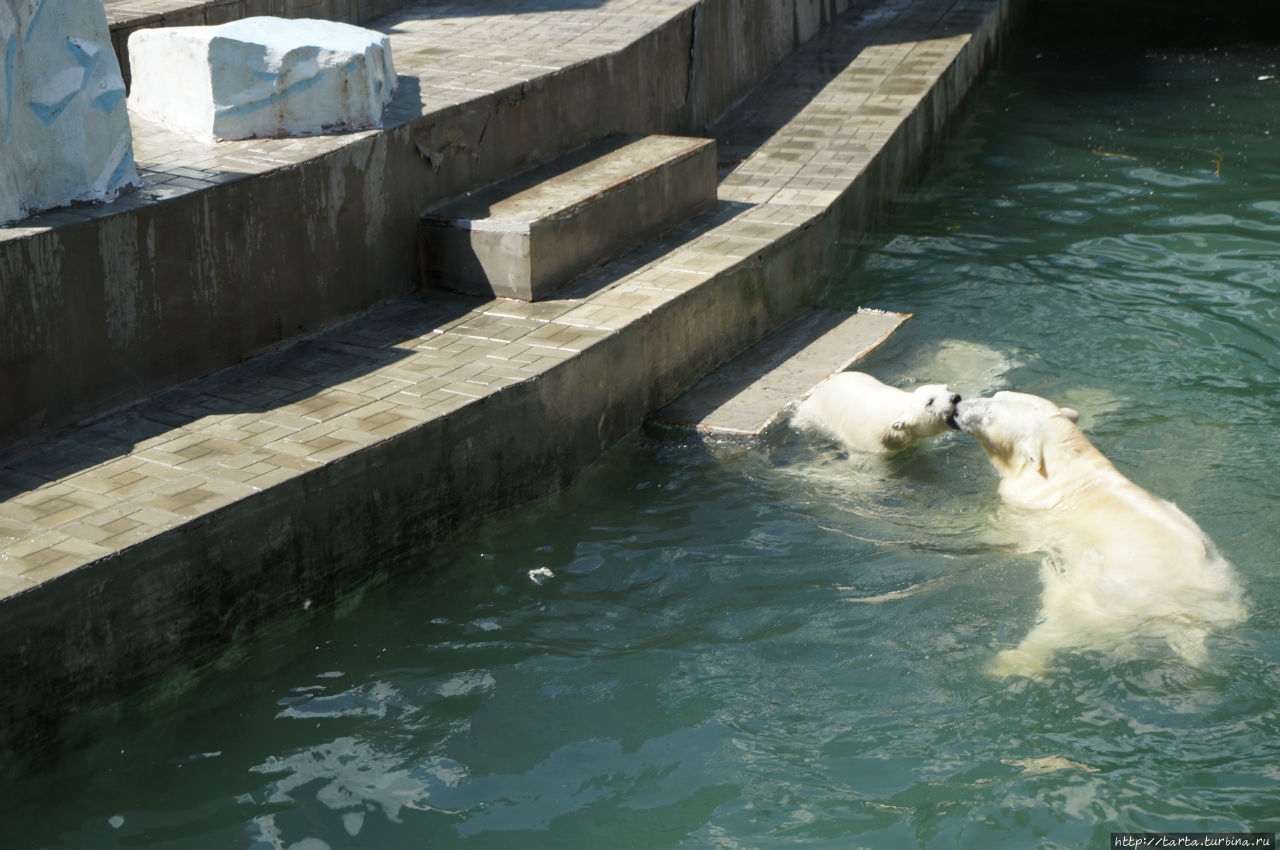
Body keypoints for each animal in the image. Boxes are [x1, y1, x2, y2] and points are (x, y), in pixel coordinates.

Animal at [957, 389, 1244, 675]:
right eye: (996, 395)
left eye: (990, 414)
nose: (958, 407)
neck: (1067, 463)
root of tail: (1193, 615)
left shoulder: (1029, 507)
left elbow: (999, 529)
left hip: (1110, 598)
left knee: (1064, 615)